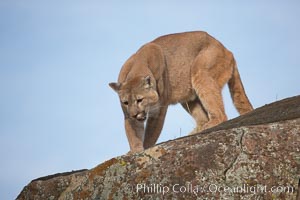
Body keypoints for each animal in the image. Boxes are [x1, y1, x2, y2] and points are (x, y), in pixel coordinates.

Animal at [109, 31, 252, 153]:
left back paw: (210, 124)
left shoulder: (159, 110)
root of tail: (227, 50)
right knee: (203, 117)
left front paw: (146, 147)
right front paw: (135, 151)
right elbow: (133, 133)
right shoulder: (127, 115)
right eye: (125, 102)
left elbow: (151, 132)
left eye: (140, 100)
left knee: (221, 115)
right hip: (188, 97)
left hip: (201, 72)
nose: (134, 114)